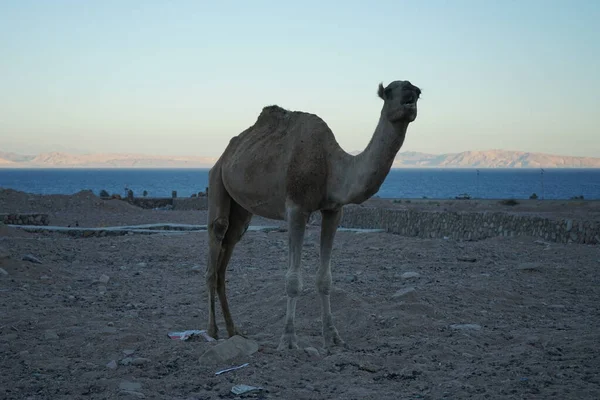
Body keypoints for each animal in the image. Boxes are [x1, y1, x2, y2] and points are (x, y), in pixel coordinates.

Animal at [204, 79, 420, 348]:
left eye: (418, 91)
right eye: (390, 91)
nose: (411, 93)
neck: (331, 165)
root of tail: (224, 154)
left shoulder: (333, 210)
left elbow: (325, 278)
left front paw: (333, 337)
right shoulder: (296, 209)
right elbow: (293, 280)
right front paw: (288, 340)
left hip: (241, 209)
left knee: (230, 245)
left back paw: (234, 330)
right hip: (217, 180)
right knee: (216, 241)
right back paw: (212, 331)